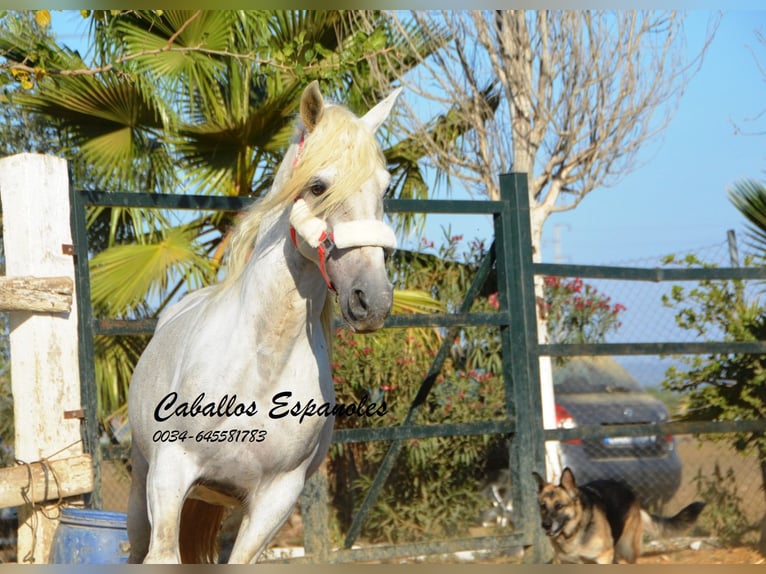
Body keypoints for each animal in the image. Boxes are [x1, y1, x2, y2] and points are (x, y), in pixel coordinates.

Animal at [126, 83, 402, 564]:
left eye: (385, 187)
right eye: (317, 185)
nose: (373, 299)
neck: (260, 364)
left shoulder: (276, 498)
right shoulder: (169, 473)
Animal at [536, 468, 708, 568]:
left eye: (559, 506)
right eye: (543, 506)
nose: (545, 525)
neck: (574, 532)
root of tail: (631, 493)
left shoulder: (603, 558)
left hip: (628, 550)